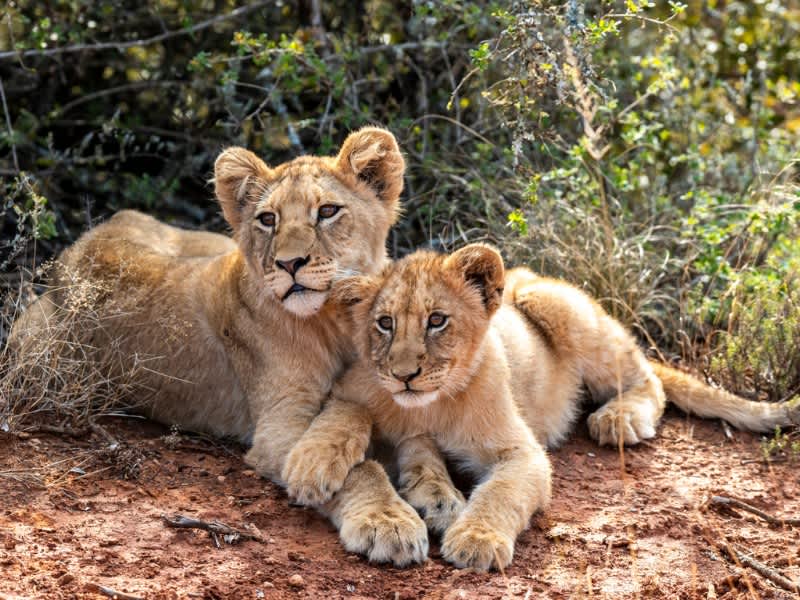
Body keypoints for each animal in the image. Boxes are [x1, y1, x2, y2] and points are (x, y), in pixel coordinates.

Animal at [8, 128, 429, 566]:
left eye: (328, 211)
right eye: (268, 219)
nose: (288, 263)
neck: (336, 318)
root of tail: (82, 243)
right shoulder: (278, 427)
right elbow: (360, 466)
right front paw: (386, 519)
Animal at [281, 243, 800, 571]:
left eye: (437, 320)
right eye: (384, 323)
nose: (405, 374)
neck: (427, 406)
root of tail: (525, 277)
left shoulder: (524, 453)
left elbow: (500, 493)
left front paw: (476, 540)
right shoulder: (352, 389)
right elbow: (349, 416)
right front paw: (313, 465)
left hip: (551, 302)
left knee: (649, 380)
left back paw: (618, 419)